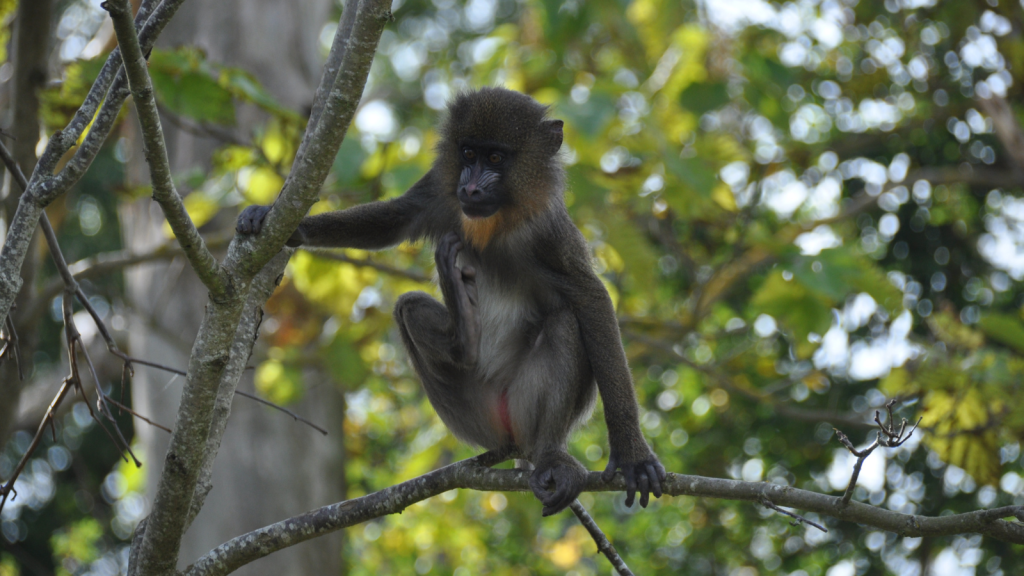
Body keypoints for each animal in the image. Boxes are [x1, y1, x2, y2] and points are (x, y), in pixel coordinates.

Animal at [236, 86, 663, 516]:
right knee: (408, 306)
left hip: (519, 409)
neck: (497, 221)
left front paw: (633, 454)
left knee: (566, 323)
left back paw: (549, 456)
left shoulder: (550, 234)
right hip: (472, 412)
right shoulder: (440, 193)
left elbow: (590, 298)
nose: (471, 189)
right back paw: (465, 339)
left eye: (495, 158)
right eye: (468, 153)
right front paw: (286, 223)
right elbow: (394, 218)